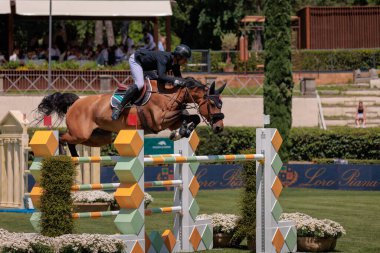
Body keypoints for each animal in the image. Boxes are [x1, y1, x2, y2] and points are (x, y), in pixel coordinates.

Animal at [36, 77, 224, 156]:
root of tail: (76, 103)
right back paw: (62, 153)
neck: (168, 95)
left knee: (71, 141)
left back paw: (75, 157)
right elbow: (189, 115)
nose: (219, 127)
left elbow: (193, 118)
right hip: (80, 133)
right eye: (212, 104)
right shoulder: (159, 121)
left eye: (221, 104)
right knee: (62, 137)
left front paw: (181, 132)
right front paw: (181, 132)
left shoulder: (172, 120)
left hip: (97, 137)